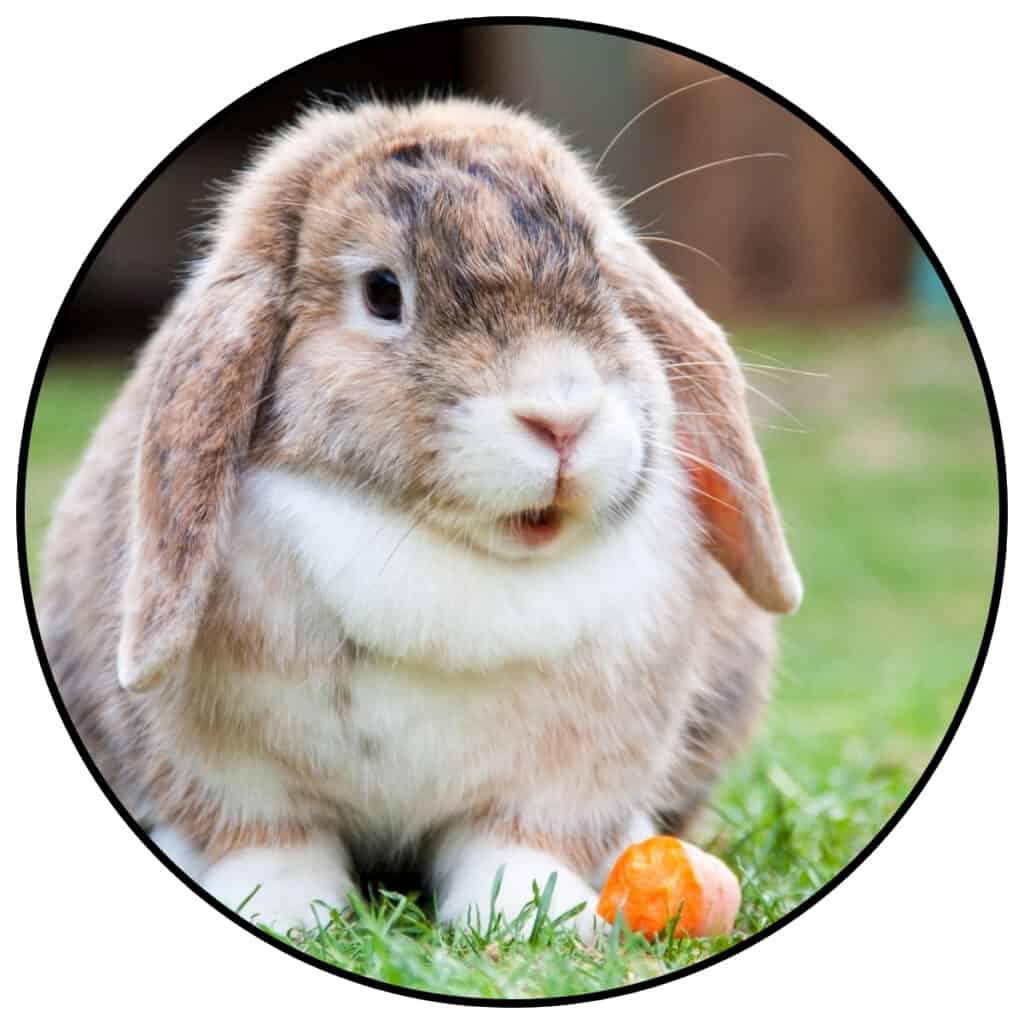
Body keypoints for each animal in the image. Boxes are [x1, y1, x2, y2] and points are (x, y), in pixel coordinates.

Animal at [37, 96, 798, 937]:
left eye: (601, 273)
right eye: (381, 293)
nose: (562, 419)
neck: (447, 554)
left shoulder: (561, 778)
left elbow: (519, 844)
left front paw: (534, 916)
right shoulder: (234, 775)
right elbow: (271, 842)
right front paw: (283, 911)